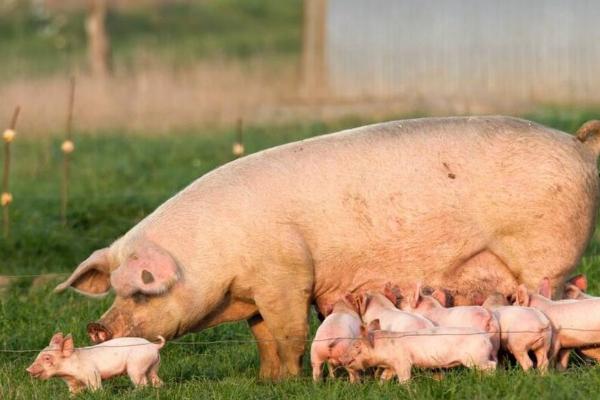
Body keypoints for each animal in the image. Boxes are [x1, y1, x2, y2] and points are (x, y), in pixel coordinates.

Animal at [54, 115, 600, 378]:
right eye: (114, 291)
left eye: (141, 291)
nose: (98, 327)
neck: (218, 258)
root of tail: (576, 142)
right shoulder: (258, 290)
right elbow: (263, 337)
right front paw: (268, 382)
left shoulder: (285, 274)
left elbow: (290, 333)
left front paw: (290, 380)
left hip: (546, 254)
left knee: (550, 309)